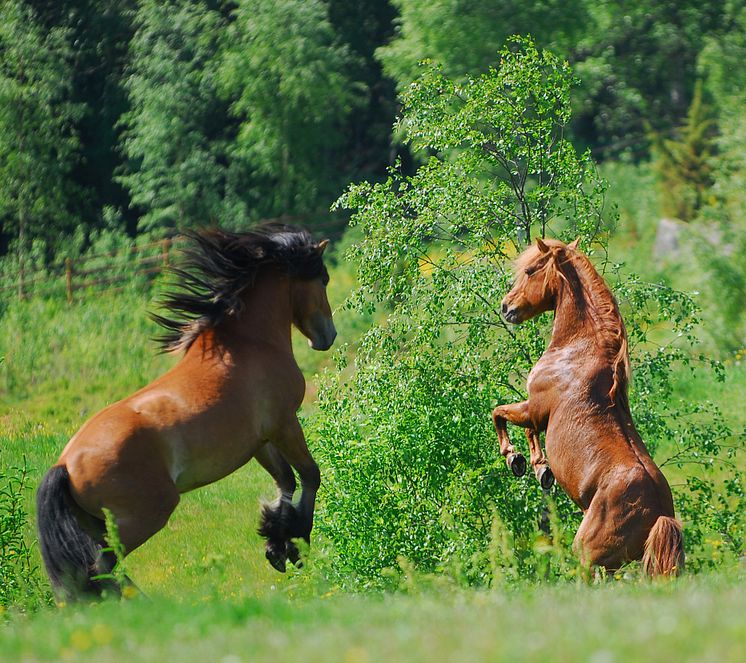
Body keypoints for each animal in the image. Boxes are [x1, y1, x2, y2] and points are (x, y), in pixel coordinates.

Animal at [37, 224, 334, 600]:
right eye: (323, 279)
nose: (327, 336)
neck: (248, 344)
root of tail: (64, 464)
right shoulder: (285, 423)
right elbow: (310, 475)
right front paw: (296, 544)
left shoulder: (260, 441)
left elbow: (286, 481)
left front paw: (276, 542)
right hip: (144, 516)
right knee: (101, 568)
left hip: (99, 524)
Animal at [492, 237, 684, 576]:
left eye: (529, 270)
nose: (506, 306)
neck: (579, 349)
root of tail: (659, 516)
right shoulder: (537, 415)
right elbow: (524, 429)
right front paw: (541, 468)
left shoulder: (534, 409)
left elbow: (500, 413)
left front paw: (515, 459)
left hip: (588, 556)